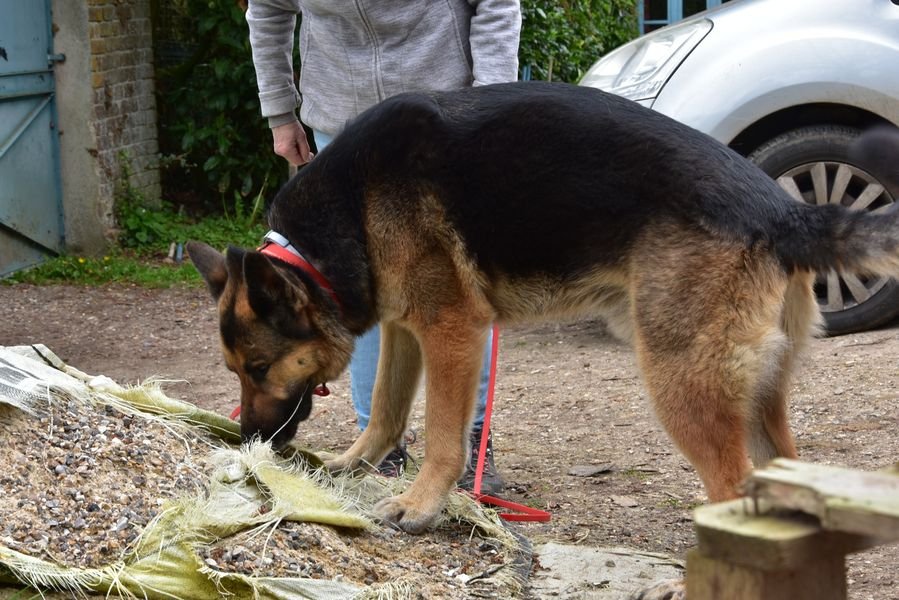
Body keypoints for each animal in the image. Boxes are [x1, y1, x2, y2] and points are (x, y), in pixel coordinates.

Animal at [185, 81, 899, 536]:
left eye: (258, 368)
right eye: (234, 372)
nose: (249, 440)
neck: (343, 217)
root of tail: (784, 211)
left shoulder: (452, 333)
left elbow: (441, 434)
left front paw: (420, 505)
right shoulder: (402, 329)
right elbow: (386, 408)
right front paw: (353, 464)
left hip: (683, 383)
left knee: (732, 494)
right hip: (757, 399)